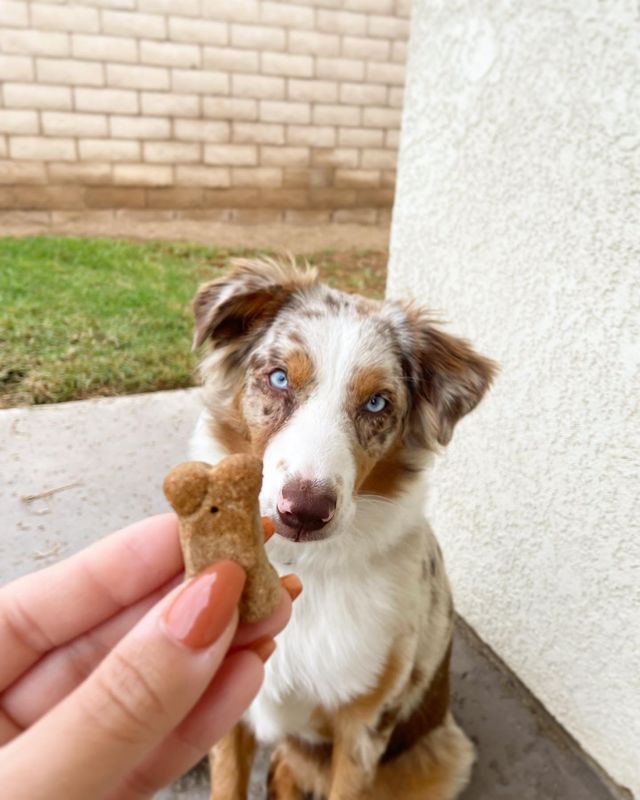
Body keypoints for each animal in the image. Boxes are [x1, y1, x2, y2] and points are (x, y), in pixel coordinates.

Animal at [188, 258, 498, 800]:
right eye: (278, 378)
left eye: (376, 403)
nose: (303, 512)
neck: (301, 570)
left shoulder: (363, 727)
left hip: (443, 754)